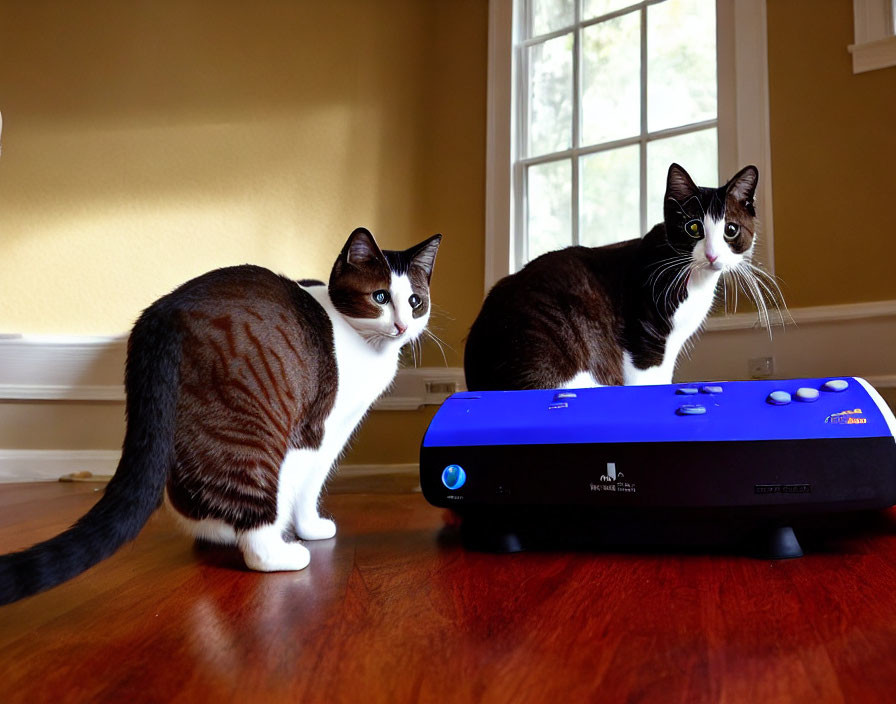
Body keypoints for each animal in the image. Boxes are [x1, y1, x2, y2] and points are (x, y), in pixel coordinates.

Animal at [0, 228, 440, 604]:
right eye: (380, 297)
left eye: (415, 301)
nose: (402, 326)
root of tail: (161, 313)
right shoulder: (322, 431)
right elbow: (308, 488)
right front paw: (311, 528)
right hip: (252, 434)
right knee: (255, 526)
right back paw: (281, 552)